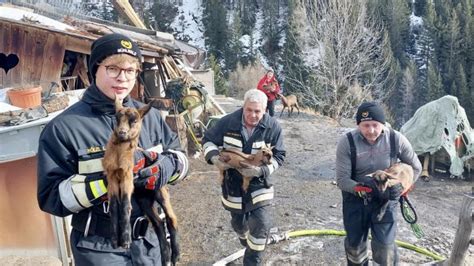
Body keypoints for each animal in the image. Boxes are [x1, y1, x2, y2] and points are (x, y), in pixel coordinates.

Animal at [101, 96, 180, 264]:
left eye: (134, 120)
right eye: (116, 117)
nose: (122, 132)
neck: (119, 154)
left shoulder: (128, 176)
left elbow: (125, 204)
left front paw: (125, 240)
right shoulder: (111, 177)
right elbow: (113, 207)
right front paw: (114, 239)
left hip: (161, 191)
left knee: (171, 219)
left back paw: (175, 255)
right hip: (144, 200)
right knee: (158, 224)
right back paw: (165, 257)